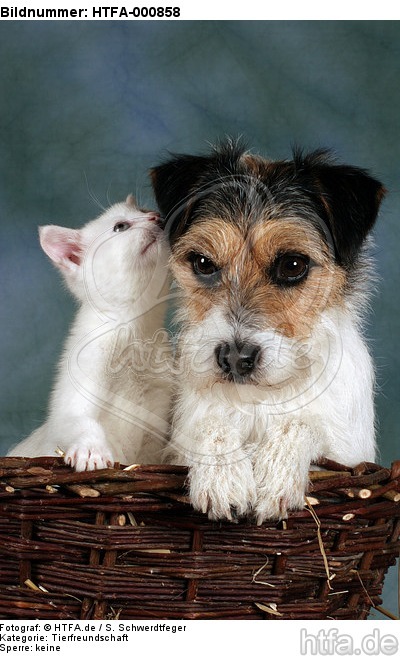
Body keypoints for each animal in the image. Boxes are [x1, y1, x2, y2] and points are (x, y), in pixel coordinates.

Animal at [9, 196, 172, 472]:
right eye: (120, 226)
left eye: (148, 211)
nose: (157, 217)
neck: (134, 329)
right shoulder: (70, 405)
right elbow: (83, 423)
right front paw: (91, 451)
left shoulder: (157, 420)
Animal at [152, 140, 386, 524]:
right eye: (203, 263)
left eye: (293, 265)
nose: (234, 358)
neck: (262, 398)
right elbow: (211, 423)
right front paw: (224, 475)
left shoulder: (348, 452)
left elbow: (300, 424)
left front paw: (275, 472)